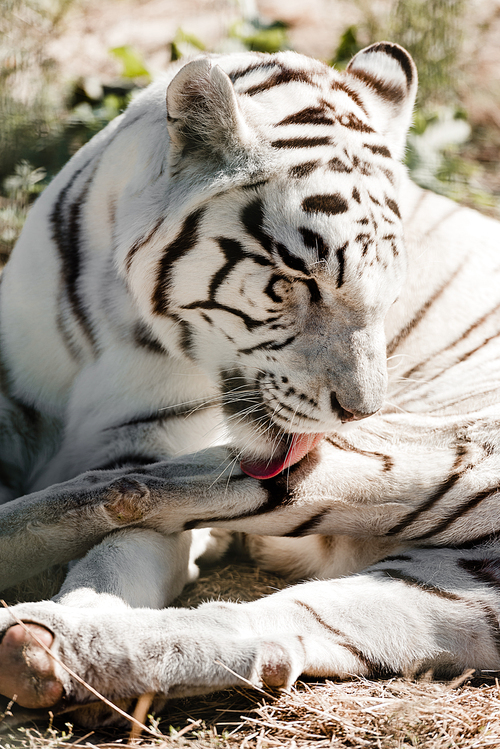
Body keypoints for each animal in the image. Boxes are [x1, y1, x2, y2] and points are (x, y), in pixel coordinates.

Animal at [0, 42, 500, 724]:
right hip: (456, 590)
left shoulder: (147, 444)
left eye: (392, 295)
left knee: (128, 491)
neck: (116, 312)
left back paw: (41, 644)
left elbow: (118, 549)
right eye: (298, 280)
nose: (361, 411)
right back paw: (46, 654)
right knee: (277, 630)